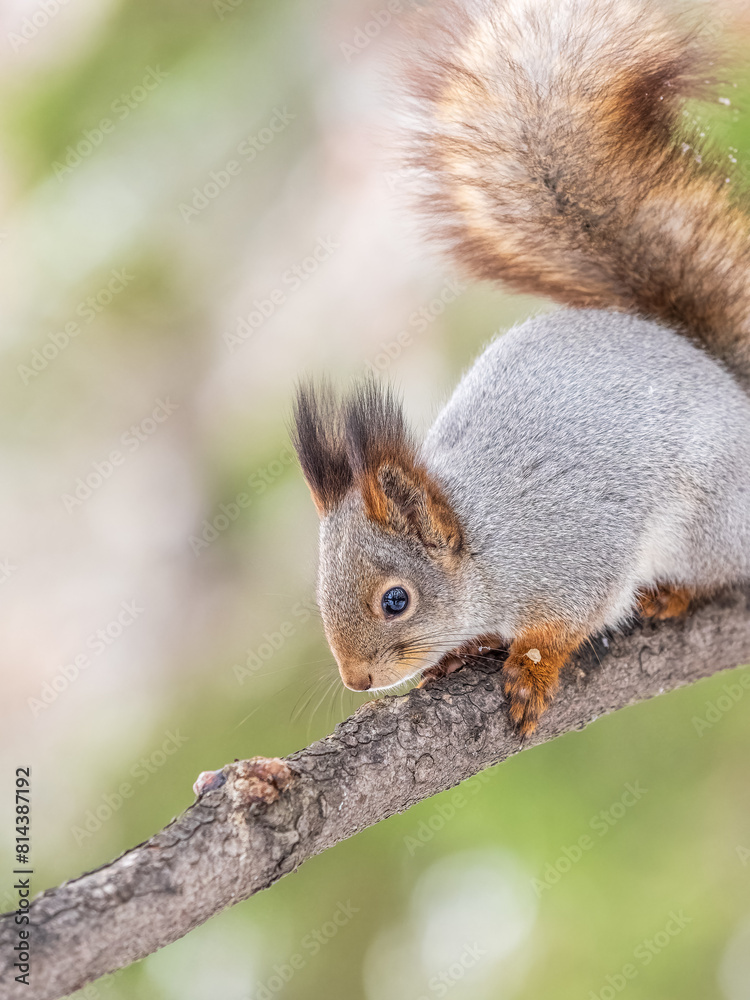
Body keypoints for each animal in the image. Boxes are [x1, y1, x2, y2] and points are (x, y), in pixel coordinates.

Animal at [292, 0, 750, 733]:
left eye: (396, 600)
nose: (357, 679)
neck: (482, 544)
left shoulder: (573, 557)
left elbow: (568, 623)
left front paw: (531, 668)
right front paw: (463, 651)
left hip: (709, 520)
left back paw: (673, 595)